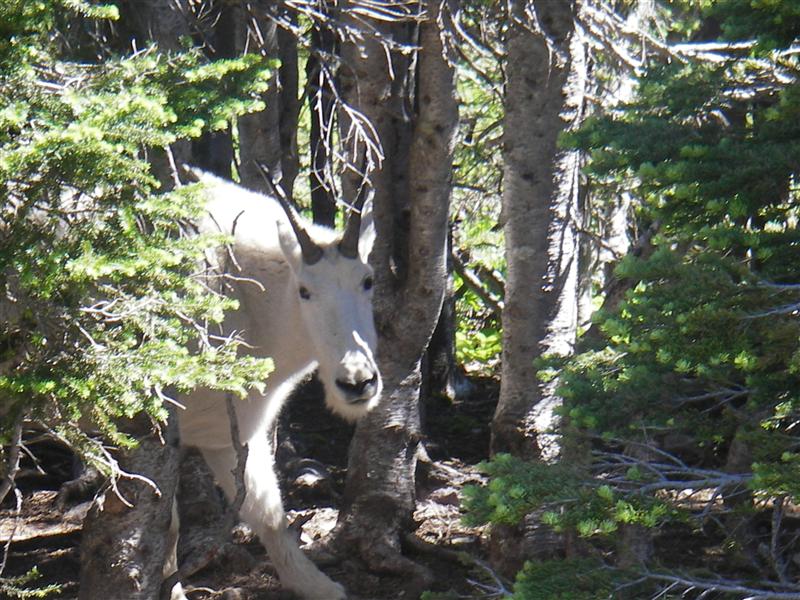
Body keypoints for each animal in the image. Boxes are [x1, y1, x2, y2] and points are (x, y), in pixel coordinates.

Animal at [173, 170, 380, 600]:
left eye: (368, 281)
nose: (357, 382)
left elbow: (267, 513)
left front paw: (319, 586)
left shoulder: (227, 434)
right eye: (304, 290)